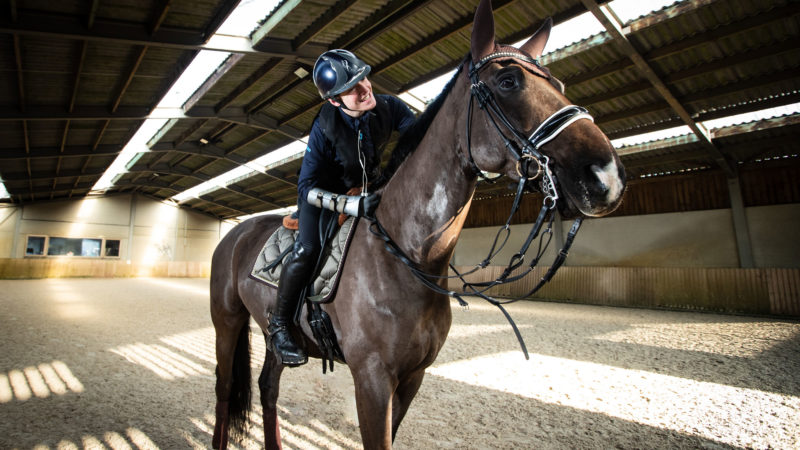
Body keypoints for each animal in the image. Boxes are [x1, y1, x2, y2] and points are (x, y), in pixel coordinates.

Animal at [209, 1, 628, 448]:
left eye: (559, 83)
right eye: (508, 81)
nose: (607, 176)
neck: (408, 257)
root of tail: (235, 232)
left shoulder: (413, 378)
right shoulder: (372, 379)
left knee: (268, 387)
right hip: (227, 321)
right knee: (224, 389)